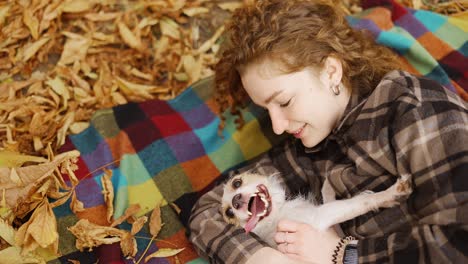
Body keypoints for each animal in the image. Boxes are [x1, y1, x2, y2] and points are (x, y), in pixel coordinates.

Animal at [221, 172, 412, 246]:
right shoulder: (320, 217)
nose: (235, 201)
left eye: (237, 182)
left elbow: (328, 198)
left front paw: (327, 186)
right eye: (229, 213)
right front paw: (391, 194)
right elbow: (362, 201)